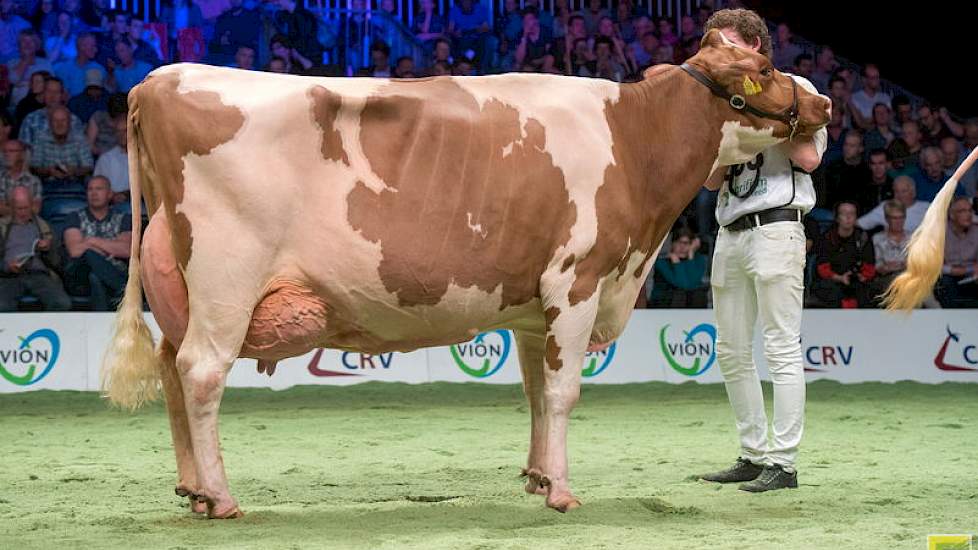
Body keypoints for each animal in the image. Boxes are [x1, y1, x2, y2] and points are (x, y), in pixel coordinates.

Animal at [103, 29, 828, 520]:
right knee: (201, 374)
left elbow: (537, 393)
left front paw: (537, 478)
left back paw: (193, 490)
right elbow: (564, 393)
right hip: (227, 279)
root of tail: (159, 79)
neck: (634, 138)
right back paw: (222, 498)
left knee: (171, 373)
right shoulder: (578, 282)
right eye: (767, 68)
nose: (823, 102)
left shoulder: (535, 307)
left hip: (182, 290)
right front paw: (563, 493)